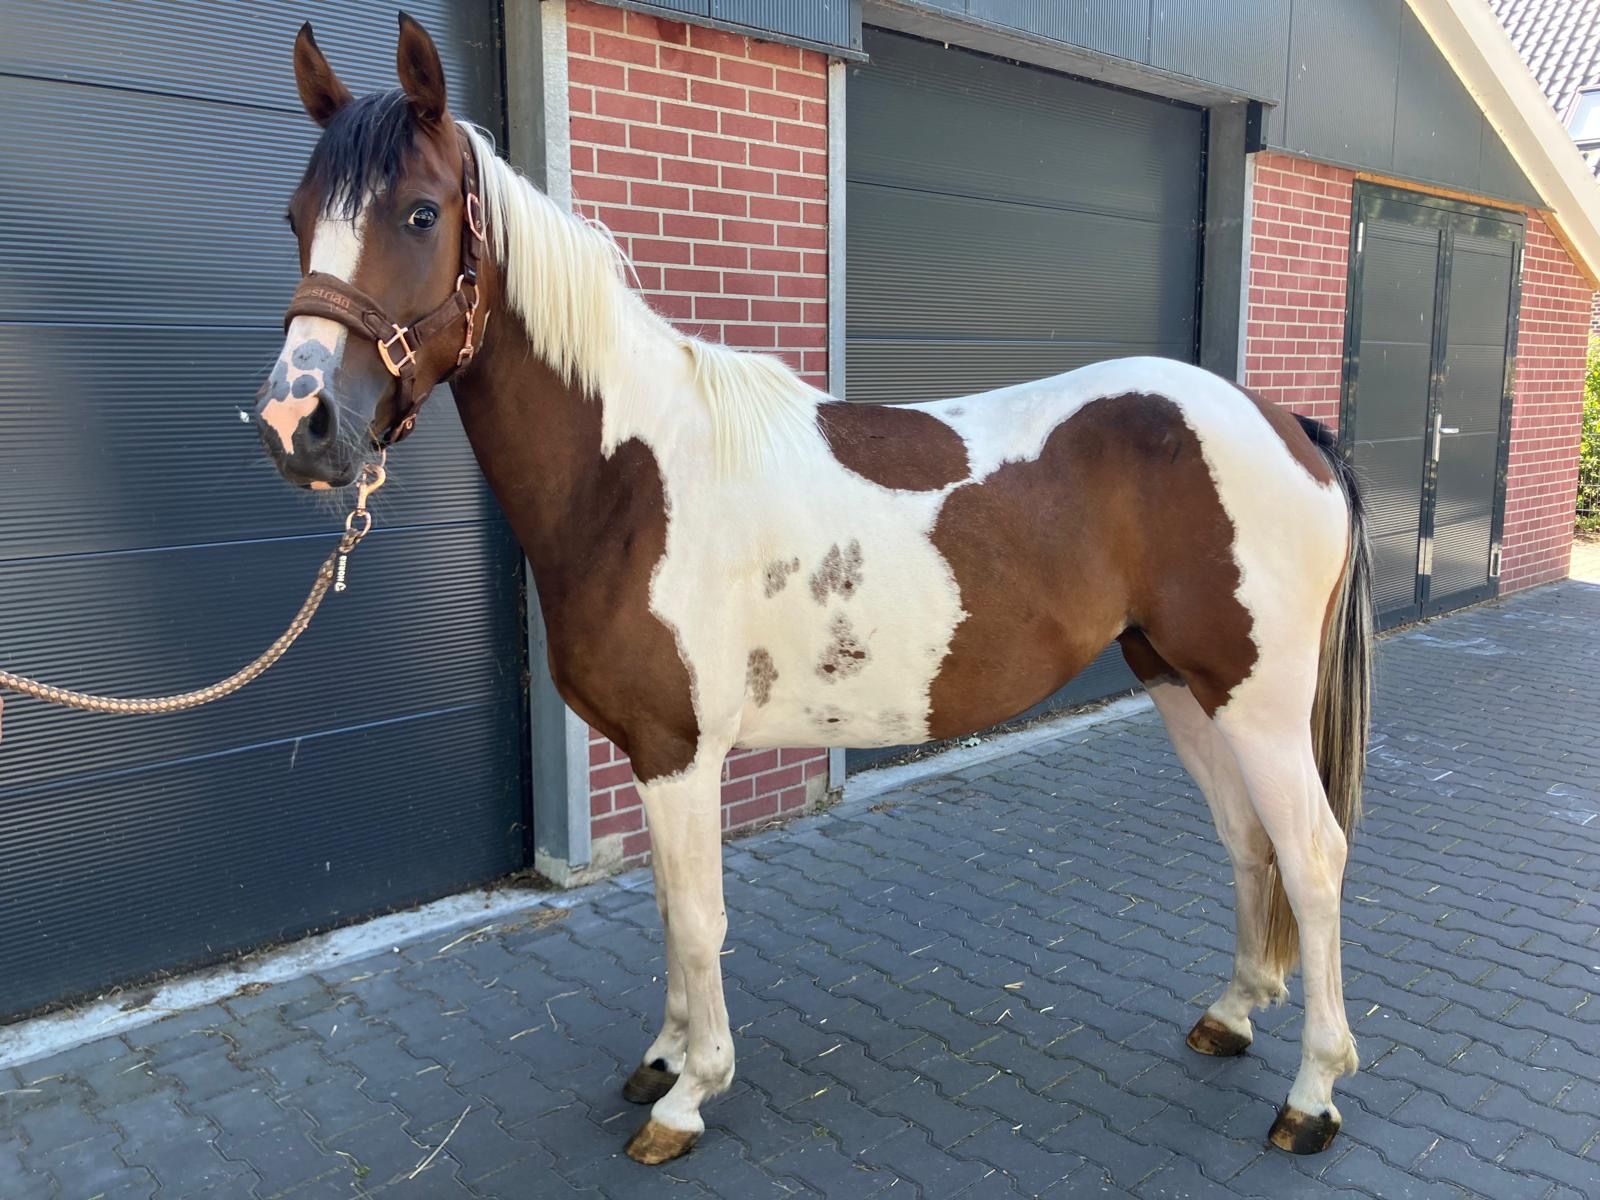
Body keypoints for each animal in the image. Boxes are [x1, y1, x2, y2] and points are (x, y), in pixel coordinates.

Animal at [257, 15, 1373, 1166]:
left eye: (420, 213)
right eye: (297, 215)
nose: (298, 424)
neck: (631, 475)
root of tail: (1289, 427)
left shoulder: (679, 751)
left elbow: (697, 917)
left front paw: (690, 1093)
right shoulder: (652, 755)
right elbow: (670, 911)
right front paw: (663, 1056)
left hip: (1259, 700)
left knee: (1313, 855)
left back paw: (1312, 1096)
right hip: (1184, 682)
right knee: (1248, 840)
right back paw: (1230, 1015)